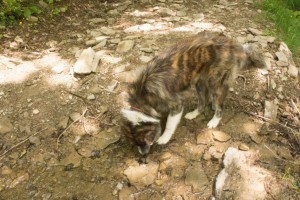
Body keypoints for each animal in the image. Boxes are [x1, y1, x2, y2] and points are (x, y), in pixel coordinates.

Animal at [120, 31, 266, 156]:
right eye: (135, 143)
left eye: (143, 141)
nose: (142, 155)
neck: (143, 93)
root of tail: (234, 45)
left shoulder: (176, 106)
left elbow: (169, 125)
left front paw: (164, 138)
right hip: (200, 82)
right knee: (203, 102)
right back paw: (195, 113)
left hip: (216, 83)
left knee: (220, 107)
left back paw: (214, 121)